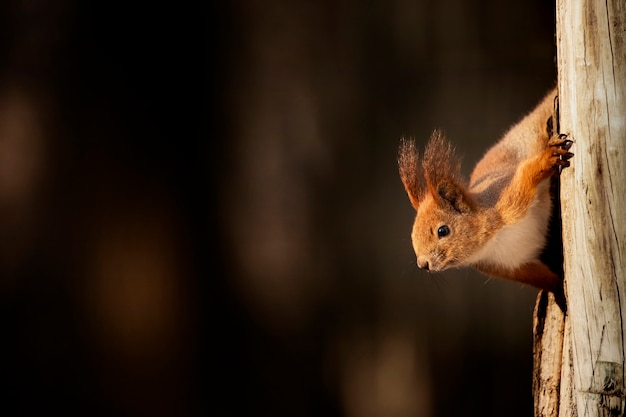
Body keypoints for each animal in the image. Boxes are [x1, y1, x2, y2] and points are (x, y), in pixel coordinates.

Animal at [400, 88, 572, 292]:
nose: (423, 264)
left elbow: (527, 173)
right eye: (412, 235)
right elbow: (541, 277)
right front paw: (559, 288)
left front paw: (549, 158)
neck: (491, 244)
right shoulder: (509, 266)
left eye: (443, 231)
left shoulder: (509, 200)